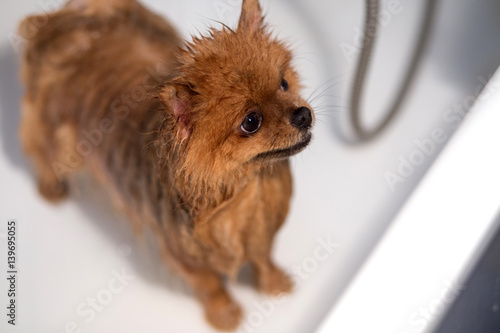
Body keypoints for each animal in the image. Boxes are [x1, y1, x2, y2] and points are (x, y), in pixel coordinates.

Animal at [19, 0, 314, 328]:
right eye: (251, 122)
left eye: (284, 83)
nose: (303, 114)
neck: (246, 193)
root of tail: (64, 18)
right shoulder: (185, 257)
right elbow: (211, 285)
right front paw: (224, 313)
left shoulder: (261, 232)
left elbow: (264, 259)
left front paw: (275, 284)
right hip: (53, 133)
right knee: (42, 153)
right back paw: (51, 188)